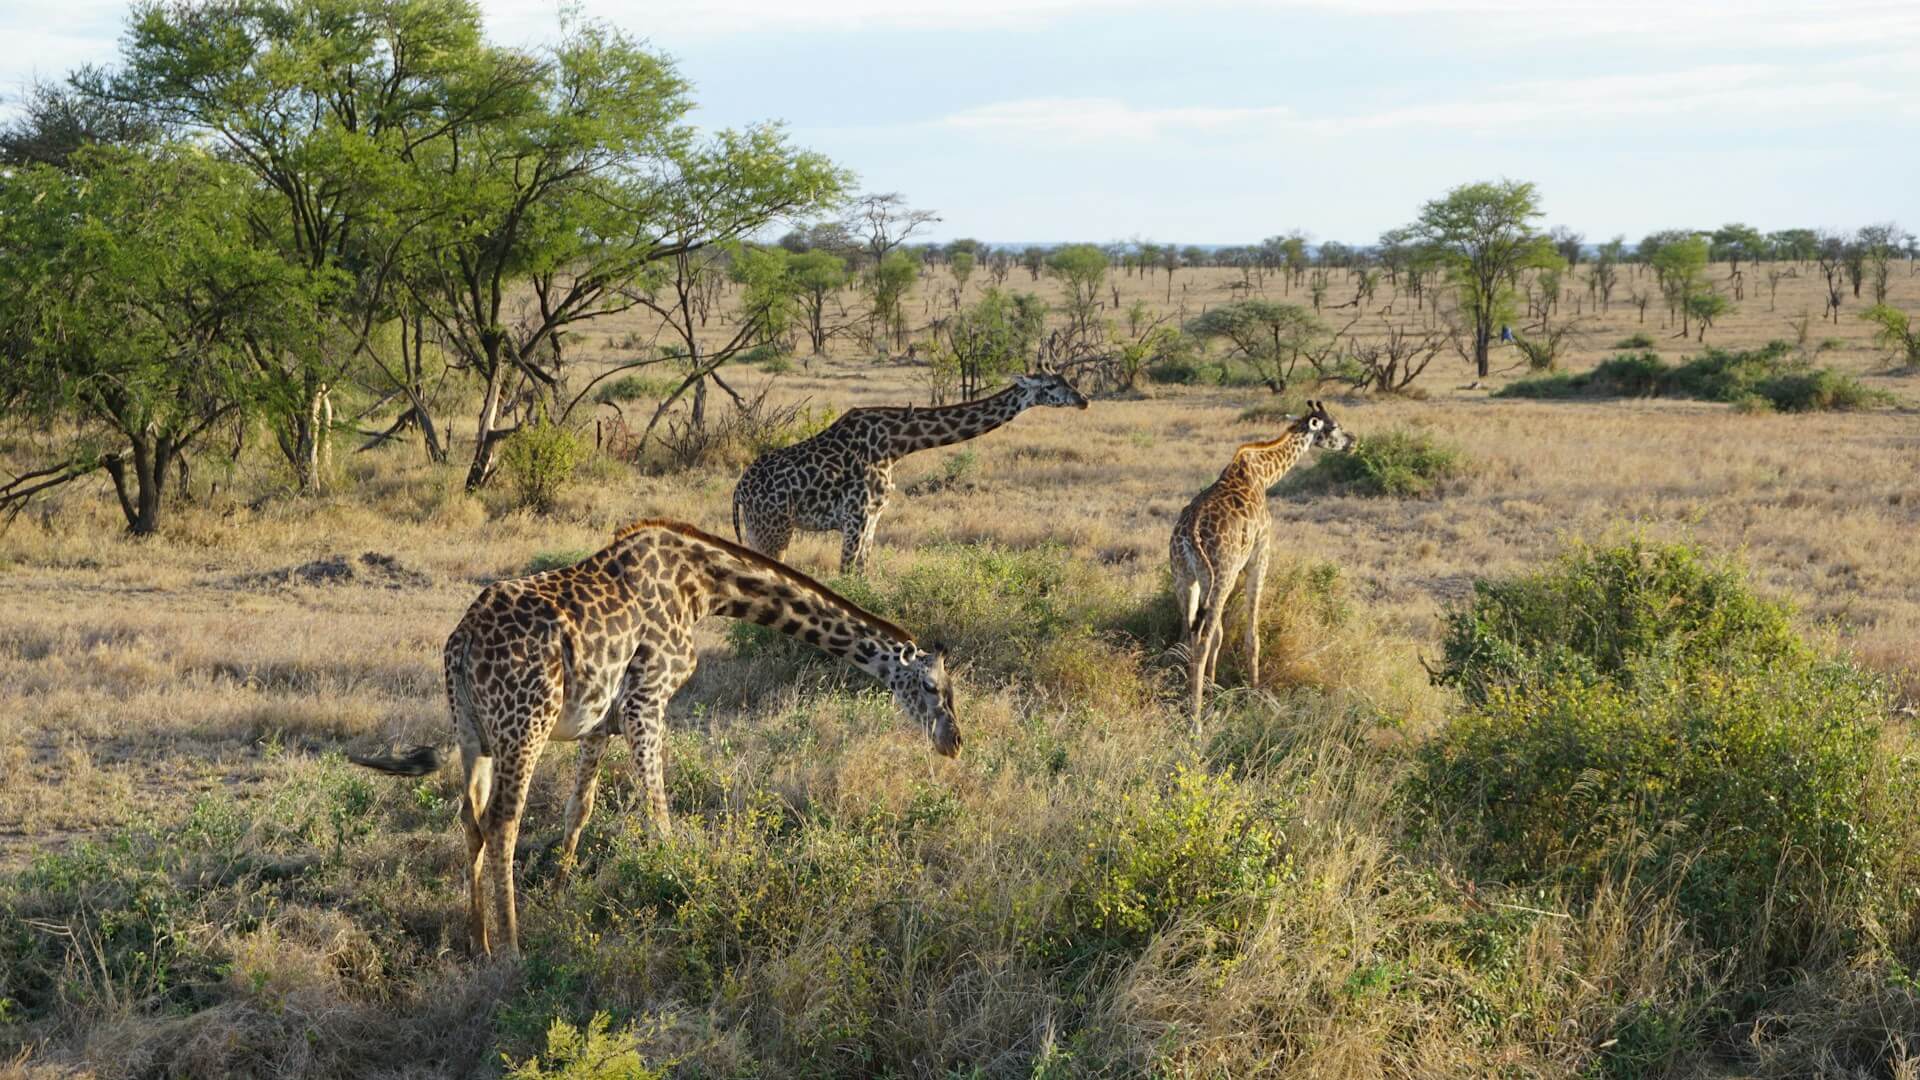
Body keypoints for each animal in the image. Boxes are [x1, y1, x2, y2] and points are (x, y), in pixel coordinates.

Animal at [347, 518, 960, 953]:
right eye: (933, 687)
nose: (953, 743)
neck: (705, 587)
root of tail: (461, 643)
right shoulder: (648, 701)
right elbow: (658, 816)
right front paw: (680, 891)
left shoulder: (602, 722)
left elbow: (580, 809)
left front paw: (562, 893)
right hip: (525, 726)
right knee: (502, 823)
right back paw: (512, 949)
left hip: (474, 733)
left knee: (469, 819)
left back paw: (478, 941)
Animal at [733, 368, 1090, 572]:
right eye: (1051, 385)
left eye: (1067, 380)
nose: (1084, 400)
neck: (896, 444)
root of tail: (739, 489)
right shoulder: (855, 517)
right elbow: (845, 575)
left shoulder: (873, 518)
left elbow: (861, 575)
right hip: (775, 530)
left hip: (758, 529)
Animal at [1167, 399, 1351, 726]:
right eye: (1335, 426)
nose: (1352, 442)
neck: (1264, 475)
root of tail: (1189, 536)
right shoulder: (1260, 554)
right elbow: (1252, 633)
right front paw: (1254, 690)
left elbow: (1222, 633)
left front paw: (1214, 685)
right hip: (1221, 575)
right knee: (1201, 638)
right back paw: (1196, 717)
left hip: (1184, 578)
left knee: (1189, 633)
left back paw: (1189, 694)